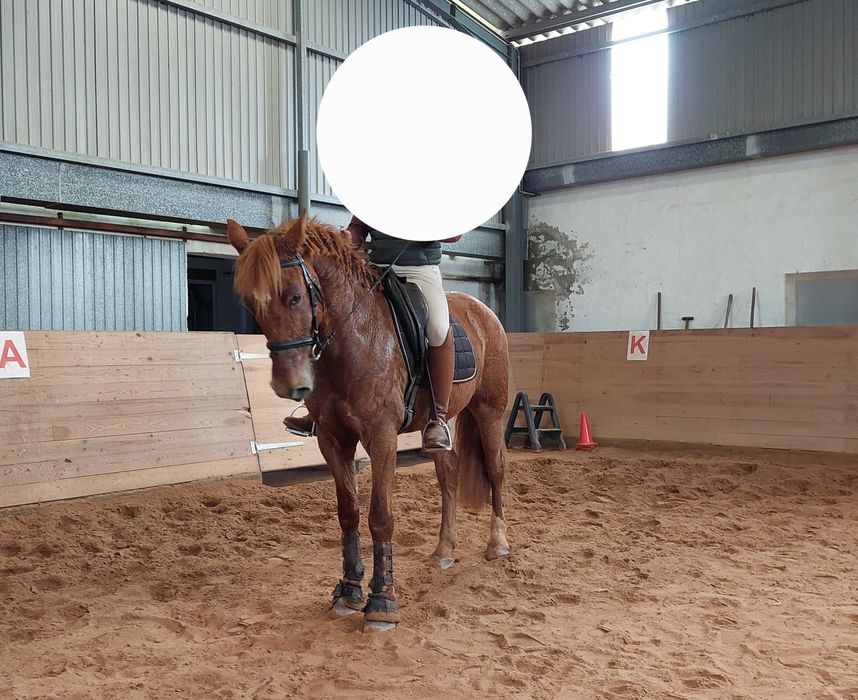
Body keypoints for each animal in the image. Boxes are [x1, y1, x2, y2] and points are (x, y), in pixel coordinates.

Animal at [227, 212, 510, 632]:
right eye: (251, 304)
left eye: (294, 296)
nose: (289, 385)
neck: (352, 341)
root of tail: (481, 308)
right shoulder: (333, 439)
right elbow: (349, 514)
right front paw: (348, 591)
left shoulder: (381, 438)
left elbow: (380, 517)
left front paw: (382, 602)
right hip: (438, 425)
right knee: (449, 473)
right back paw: (443, 549)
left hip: (490, 410)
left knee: (495, 470)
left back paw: (498, 544)